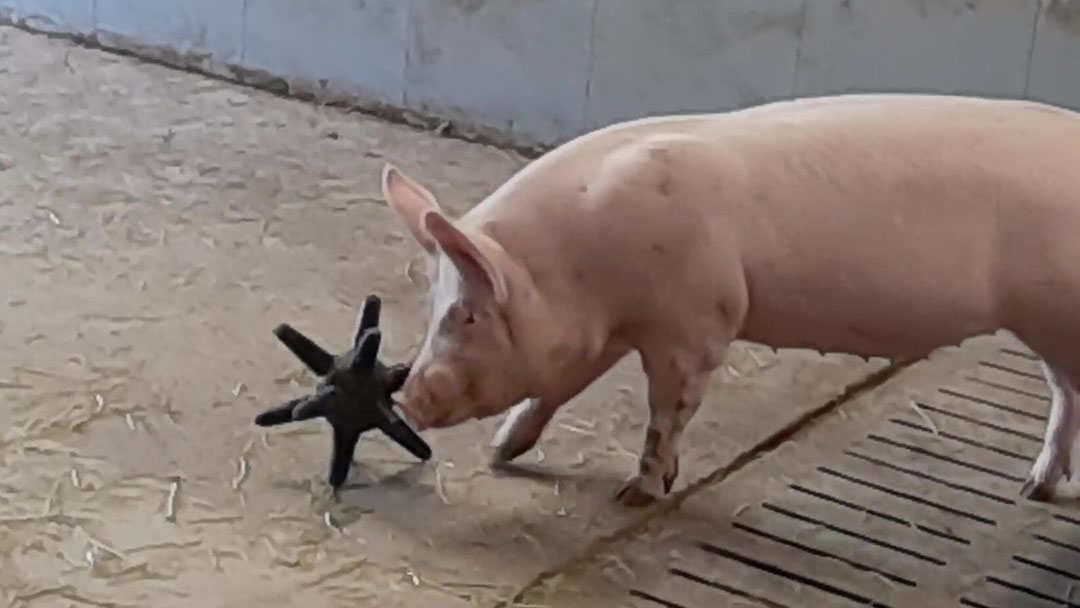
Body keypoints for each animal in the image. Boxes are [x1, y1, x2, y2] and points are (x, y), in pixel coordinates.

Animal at [378, 93, 1080, 505]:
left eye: (468, 314)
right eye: (433, 306)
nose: (409, 395)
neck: (577, 266)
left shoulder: (698, 322)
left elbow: (669, 411)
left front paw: (638, 493)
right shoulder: (608, 332)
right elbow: (553, 389)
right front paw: (503, 451)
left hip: (1057, 313)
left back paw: (1036, 490)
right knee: (1067, 392)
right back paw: (1035, 490)